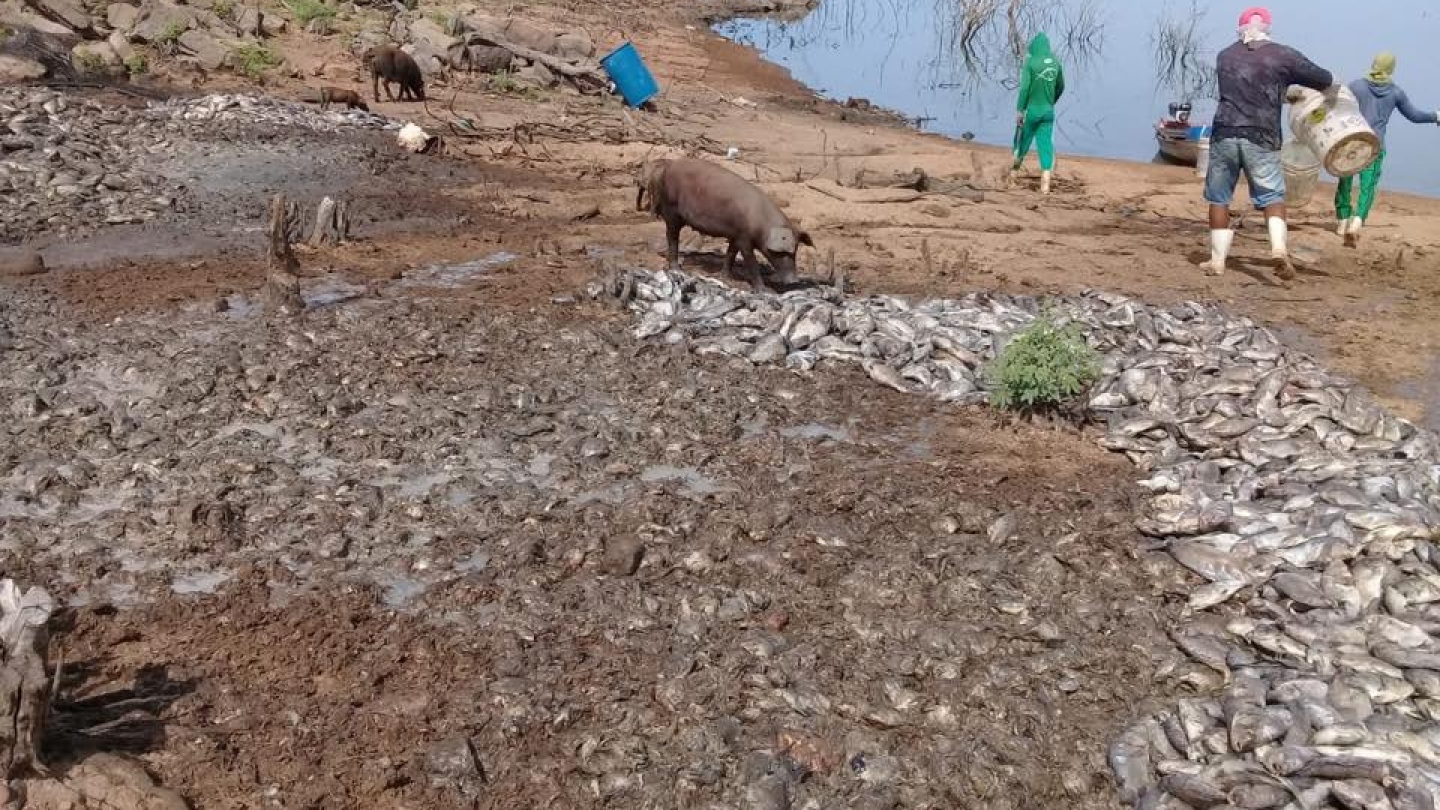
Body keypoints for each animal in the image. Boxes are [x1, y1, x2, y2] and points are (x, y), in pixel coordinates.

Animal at [639, 156, 817, 291]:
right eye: (780, 252)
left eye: (795, 250)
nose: (794, 281)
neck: (761, 226)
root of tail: (668, 166)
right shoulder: (744, 238)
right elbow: (751, 263)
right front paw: (764, 290)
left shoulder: (735, 235)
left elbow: (730, 255)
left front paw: (725, 277)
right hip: (671, 209)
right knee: (672, 236)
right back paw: (676, 268)